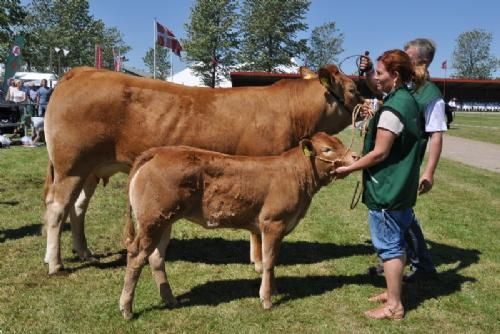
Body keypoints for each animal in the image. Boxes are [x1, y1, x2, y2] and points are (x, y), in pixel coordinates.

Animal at [44, 63, 364, 274]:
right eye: (352, 88)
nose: (368, 105)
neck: (291, 112)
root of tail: (82, 71)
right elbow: (257, 231)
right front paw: (260, 261)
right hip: (71, 165)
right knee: (57, 208)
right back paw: (55, 263)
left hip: (90, 169)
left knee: (77, 207)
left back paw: (83, 252)